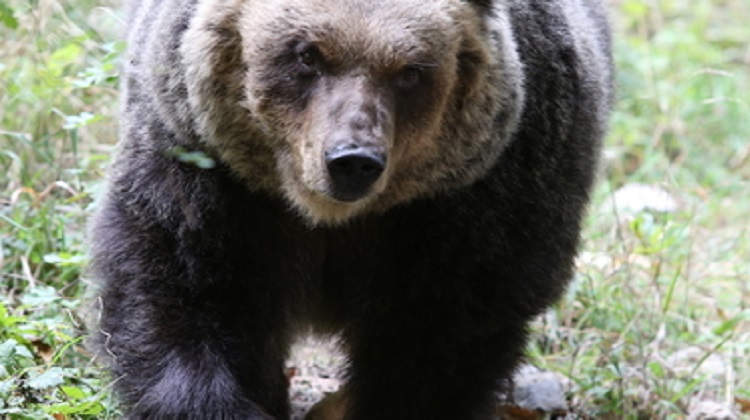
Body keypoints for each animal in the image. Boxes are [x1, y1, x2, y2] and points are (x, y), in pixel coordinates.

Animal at [88, 0, 613, 418]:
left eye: (410, 70)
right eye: (307, 54)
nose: (352, 161)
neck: (327, 219)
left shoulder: (482, 200)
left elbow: (442, 338)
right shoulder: (208, 172)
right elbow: (179, 287)